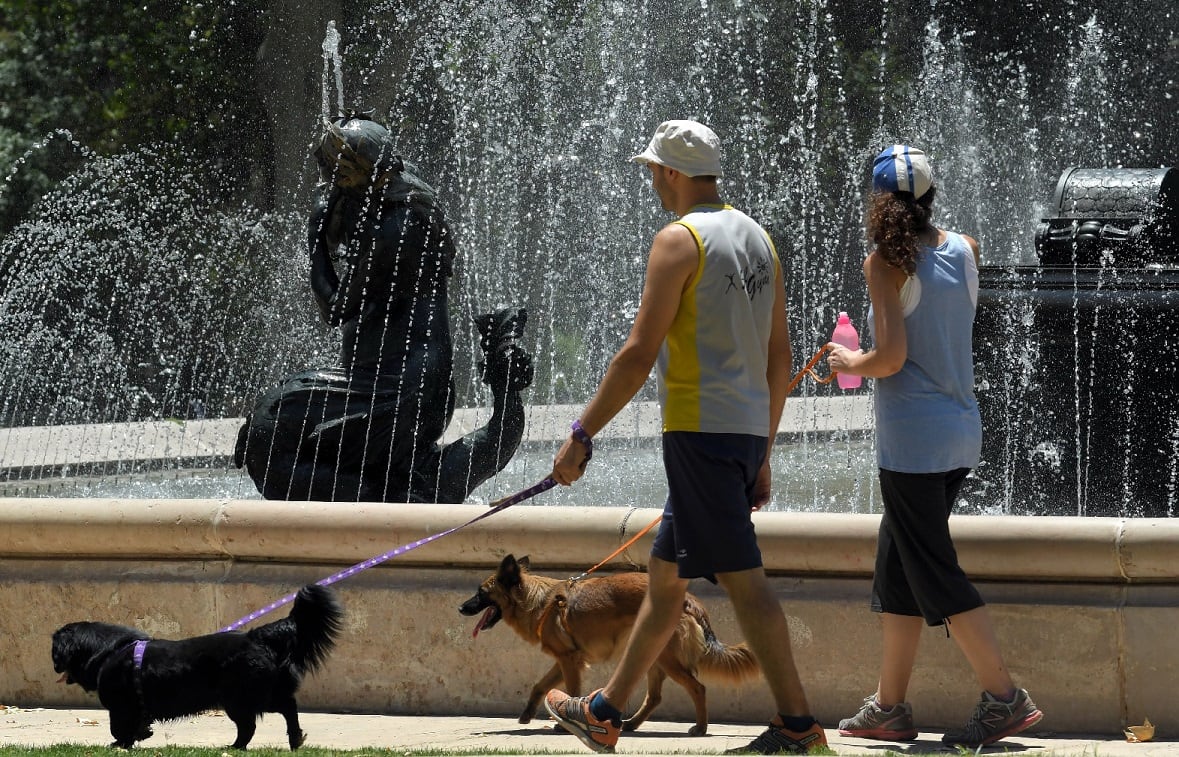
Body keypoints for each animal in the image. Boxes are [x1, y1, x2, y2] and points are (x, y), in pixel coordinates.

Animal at [53, 580, 344, 745]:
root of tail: (256, 637)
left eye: (56, 653)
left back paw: (235, 748)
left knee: (253, 724)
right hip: (259, 694)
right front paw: (141, 735)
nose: (55, 667)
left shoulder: (121, 706)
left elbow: (118, 728)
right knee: (285, 708)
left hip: (240, 698)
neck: (108, 651)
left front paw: (122, 743)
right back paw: (294, 740)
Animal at [455, 551, 759, 735]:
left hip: (666, 658)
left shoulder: (569, 661)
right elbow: (539, 685)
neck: (536, 600)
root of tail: (689, 600)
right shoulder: (565, 658)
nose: (460, 608)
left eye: (481, 593)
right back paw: (631, 723)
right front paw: (527, 714)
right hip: (653, 656)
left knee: (697, 688)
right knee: (655, 696)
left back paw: (701, 728)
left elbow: (571, 689)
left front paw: (565, 723)